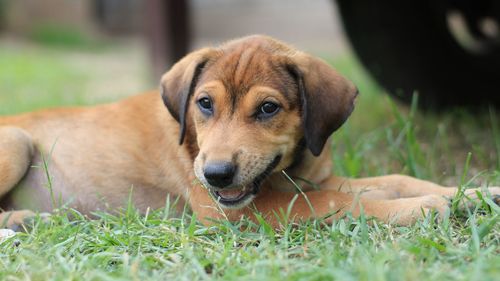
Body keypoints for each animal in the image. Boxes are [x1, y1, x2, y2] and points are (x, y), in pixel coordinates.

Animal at [0, 34, 500, 230]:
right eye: (204, 104)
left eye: (268, 108)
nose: (216, 175)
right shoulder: (228, 212)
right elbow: (334, 202)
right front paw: (422, 207)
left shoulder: (312, 177)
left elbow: (393, 179)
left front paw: (475, 193)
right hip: (16, 142)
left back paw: (27, 220)